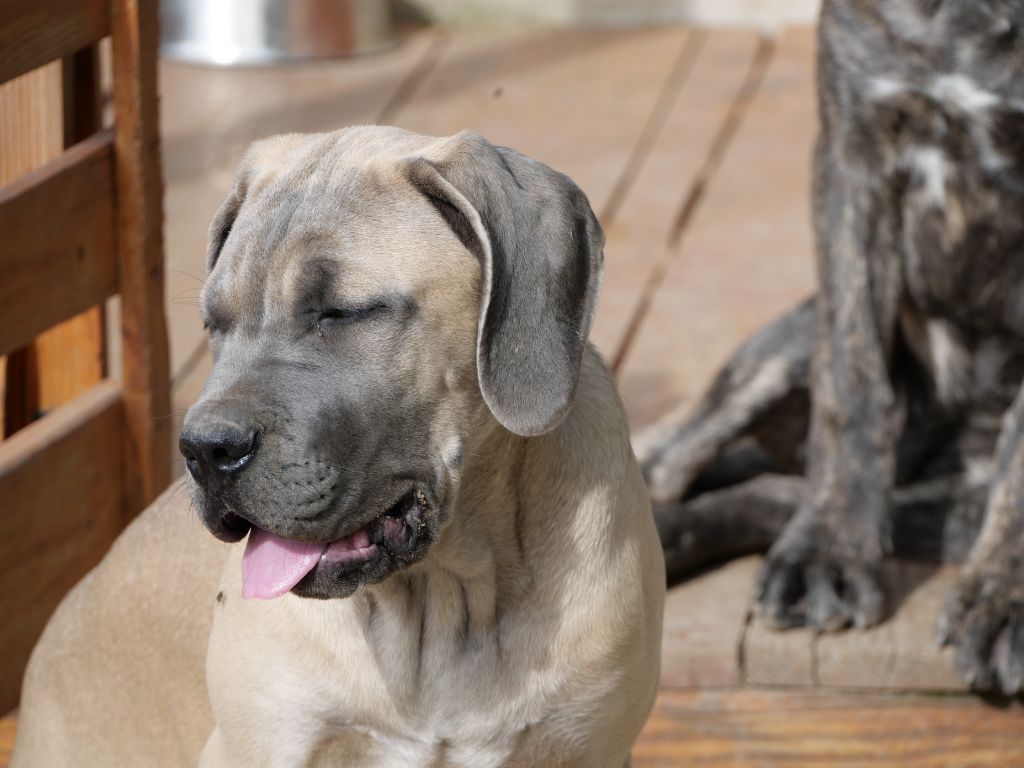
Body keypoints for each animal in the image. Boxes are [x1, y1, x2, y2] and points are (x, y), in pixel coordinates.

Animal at [636, 0, 1024, 694]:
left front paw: (1004, 596)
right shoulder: (851, 150)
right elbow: (852, 379)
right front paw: (828, 550)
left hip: (954, 508)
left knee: (768, 494)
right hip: (786, 349)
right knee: (668, 461)